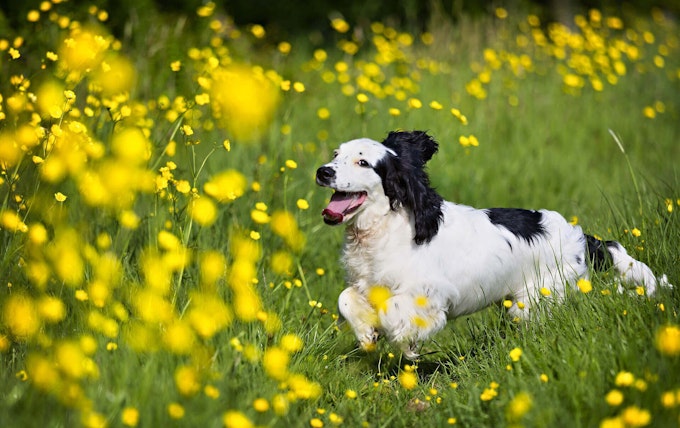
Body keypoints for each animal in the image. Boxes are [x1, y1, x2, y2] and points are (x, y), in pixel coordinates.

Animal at [316, 130, 672, 358]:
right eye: (336, 154)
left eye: (363, 162)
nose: (323, 171)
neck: (386, 229)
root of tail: (583, 238)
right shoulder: (366, 282)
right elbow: (346, 297)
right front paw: (367, 333)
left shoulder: (430, 292)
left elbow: (393, 311)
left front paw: (405, 342)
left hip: (536, 298)